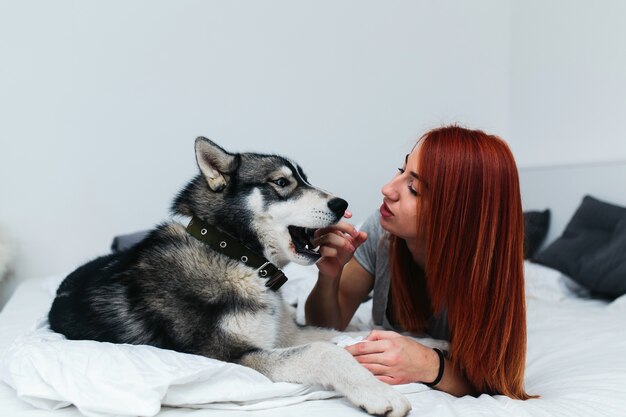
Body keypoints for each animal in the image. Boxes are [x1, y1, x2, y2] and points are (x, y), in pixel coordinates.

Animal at [48, 137, 410, 416]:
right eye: (282, 183)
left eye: (305, 179)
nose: (341, 203)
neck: (236, 255)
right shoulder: (233, 356)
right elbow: (324, 352)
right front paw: (380, 394)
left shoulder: (285, 335)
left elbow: (341, 336)